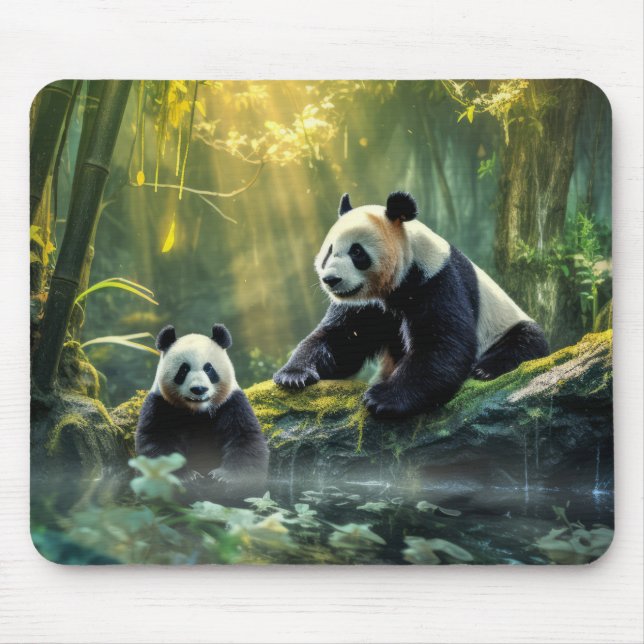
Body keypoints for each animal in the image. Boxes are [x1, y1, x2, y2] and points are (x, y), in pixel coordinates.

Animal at [136, 323, 269, 498]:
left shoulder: (232, 403)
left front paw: (225, 478)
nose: (198, 389)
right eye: (183, 370)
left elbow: (244, 438)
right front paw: (187, 478)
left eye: (209, 368)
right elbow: (156, 443)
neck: (197, 412)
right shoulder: (160, 406)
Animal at [274, 191, 549, 418]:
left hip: (505, 323)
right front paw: (293, 375)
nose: (331, 279)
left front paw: (382, 399)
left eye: (357, 252)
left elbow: (441, 344)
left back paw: (485, 369)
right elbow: (340, 340)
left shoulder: (436, 280)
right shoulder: (366, 305)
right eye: (329, 251)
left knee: (527, 339)